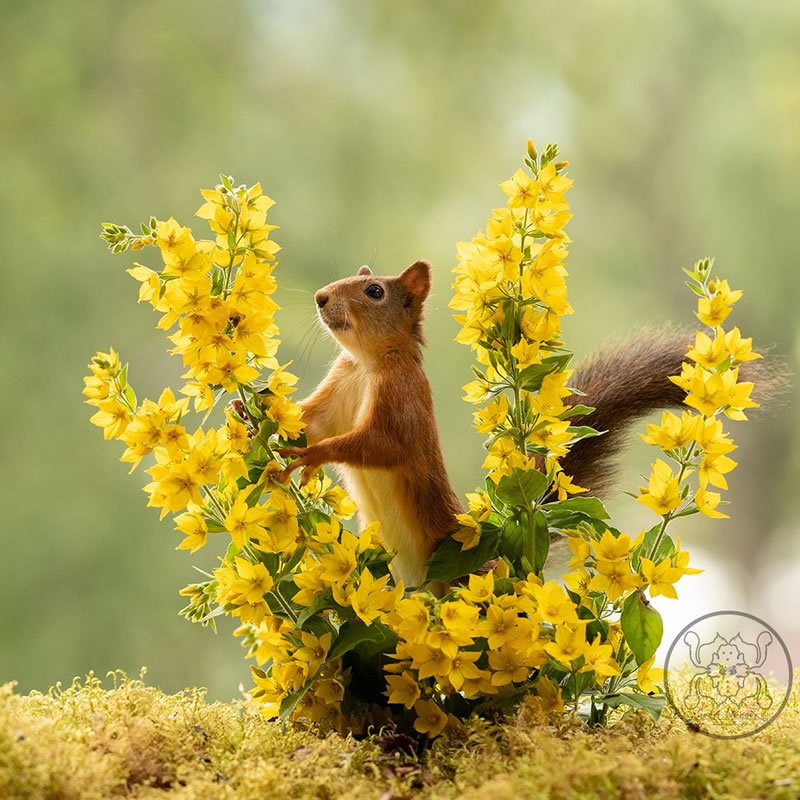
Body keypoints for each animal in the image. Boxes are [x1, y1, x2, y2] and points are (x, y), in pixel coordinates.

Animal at [280, 260, 776, 584]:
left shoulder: (402, 401)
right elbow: (313, 419)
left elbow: (380, 445)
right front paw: (265, 411)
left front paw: (312, 456)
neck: (367, 364)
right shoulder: (340, 386)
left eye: (374, 292)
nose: (321, 298)